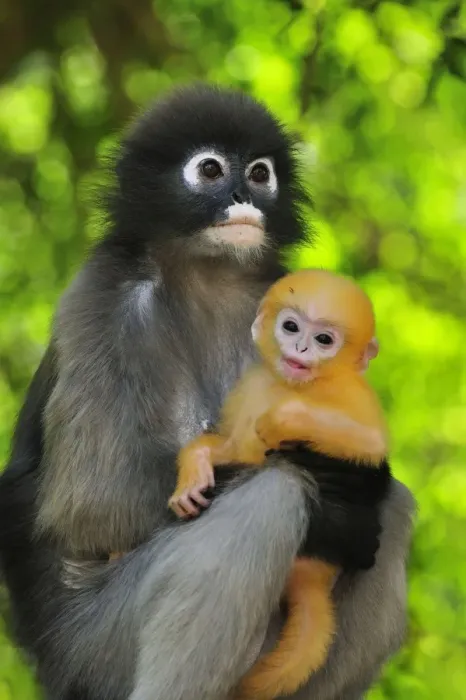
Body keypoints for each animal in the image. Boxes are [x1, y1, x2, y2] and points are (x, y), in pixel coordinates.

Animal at [168, 268, 391, 699]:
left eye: (324, 340)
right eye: (291, 327)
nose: (301, 348)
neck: (294, 386)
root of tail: (314, 577)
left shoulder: (352, 395)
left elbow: (370, 444)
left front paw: (281, 419)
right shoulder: (249, 387)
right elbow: (228, 445)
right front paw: (193, 471)